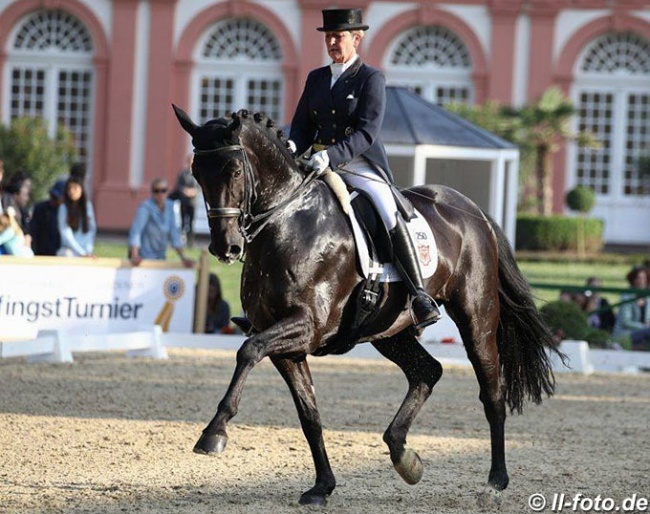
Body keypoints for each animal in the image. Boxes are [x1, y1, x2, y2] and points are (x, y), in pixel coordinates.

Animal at [172, 105, 560, 504]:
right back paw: (404, 455)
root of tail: (475, 212)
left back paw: (495, 482)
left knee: (492, 391)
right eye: (196, 173)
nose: (226, 247)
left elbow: (247, 351)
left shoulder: (307, 327)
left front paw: (213, 433)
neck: (288, 220)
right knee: (427, 371)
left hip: (476, 318)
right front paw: (322, 486)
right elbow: (309, 414)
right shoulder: (285, 344)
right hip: (389, 331)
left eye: (235, 170)